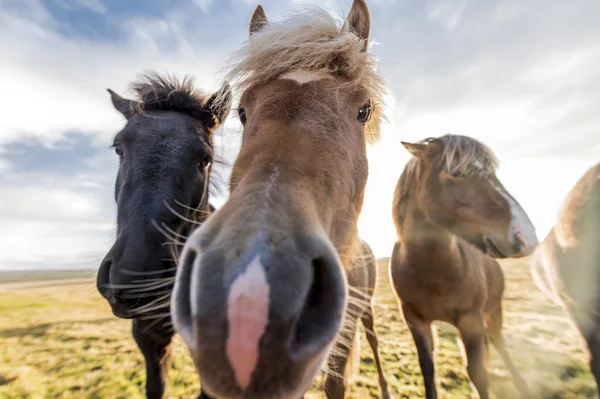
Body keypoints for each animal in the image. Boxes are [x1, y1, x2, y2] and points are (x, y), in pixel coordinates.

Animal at [390, 135, 540, 399]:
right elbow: (428, 369)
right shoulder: (415, 320)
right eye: (456, 173)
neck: (432, 273)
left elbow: (478, 373)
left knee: (498, 343)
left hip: (493, 312)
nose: (526, 237)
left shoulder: (471, 320)